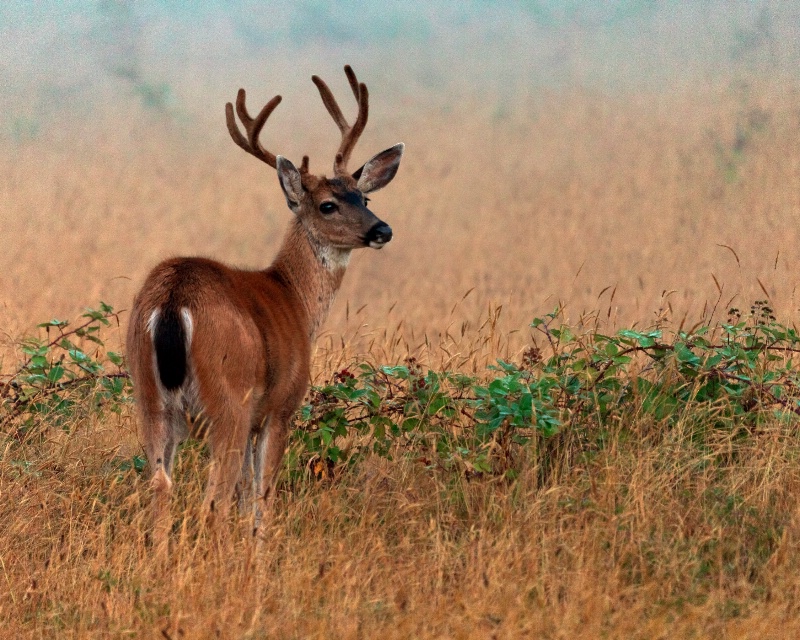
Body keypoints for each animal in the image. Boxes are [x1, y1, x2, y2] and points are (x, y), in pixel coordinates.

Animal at [127, 66, 404, 544]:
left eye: (364, 198)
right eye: (327, 205)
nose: (382, 230)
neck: (295, 298)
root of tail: (173, 299)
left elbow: (244, 496)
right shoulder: (278, 407)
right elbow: (261, 495)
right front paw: (256, 551)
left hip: (149, 394)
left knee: (162, 482)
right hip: (228, 396)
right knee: (213, 496)